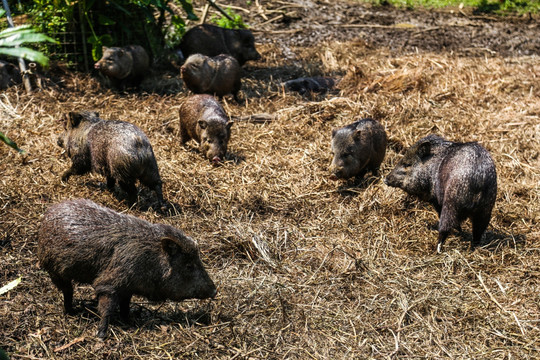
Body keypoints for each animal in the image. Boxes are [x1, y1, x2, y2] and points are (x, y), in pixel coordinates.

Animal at [37, 198, 217, 338]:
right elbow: (107, 309)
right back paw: (71, 312)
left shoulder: (128, 288)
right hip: (55, 271)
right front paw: (101, 335)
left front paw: (129, 322)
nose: (215, 291)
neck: (150, 260)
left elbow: (125, 306)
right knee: (67, 291)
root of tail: (47, 214)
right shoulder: (109, 284)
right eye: (189, 265)